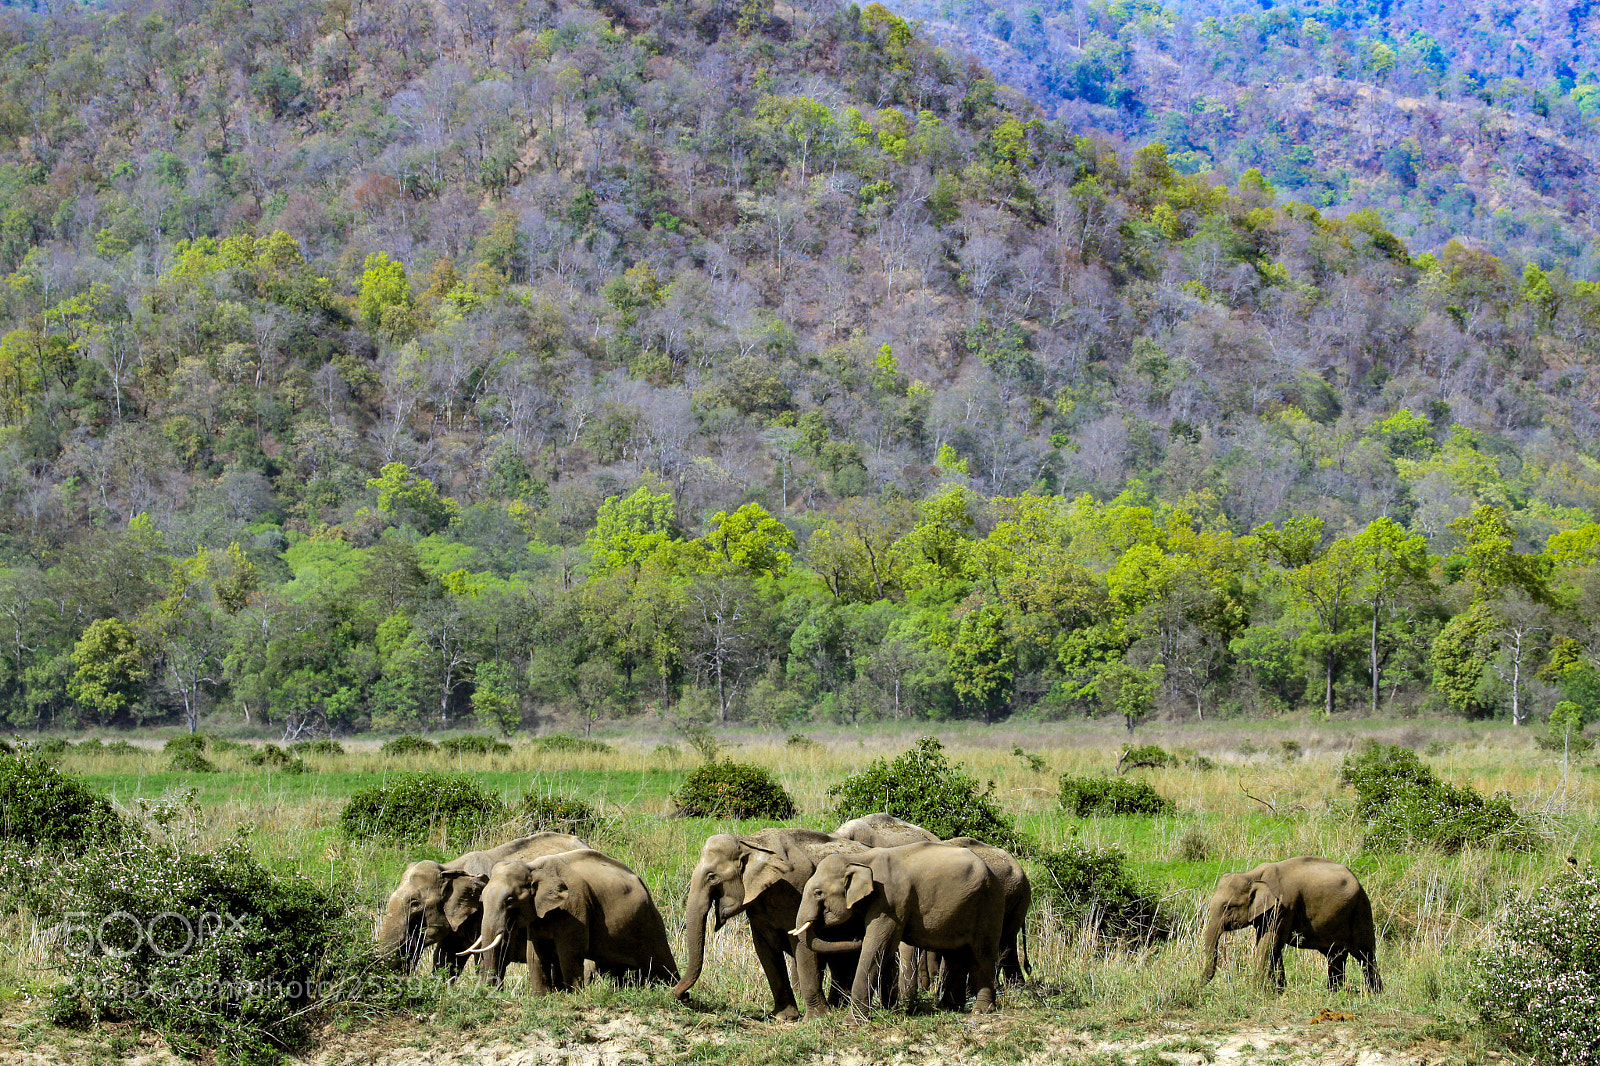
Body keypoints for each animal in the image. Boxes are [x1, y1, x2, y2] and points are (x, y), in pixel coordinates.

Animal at [461, 849, 678, 991]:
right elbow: (536, 954)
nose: (488, 989)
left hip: (648, 922)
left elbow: (569, 951)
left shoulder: (573, 905)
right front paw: (542, 997)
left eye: (509, 900)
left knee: (662, 963)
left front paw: (573, 994)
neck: (533, 867)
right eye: (481, 899)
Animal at [673, 828, 872, 1020]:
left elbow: (802, 945)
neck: (751, 842)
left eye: (712, 876)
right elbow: (764, 949)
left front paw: (816, 1019)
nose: (686, 997)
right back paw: (839, 1006)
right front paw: (783, 1017)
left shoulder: (796, 892)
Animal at [792, 841, 1006, 1015]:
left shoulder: (891, 901)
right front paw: (890, 1009)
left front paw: (852, 1021)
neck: (859, 859)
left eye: (818, 893)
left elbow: (877, 946)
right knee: (956, 953)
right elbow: (885, 950)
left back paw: (981, 1010)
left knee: (983, 952)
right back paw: (949, 1007)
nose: (854, 938)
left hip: (989, 901)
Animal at [1200, 855, 1381, 993]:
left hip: (1360, 910)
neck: (1252, 875)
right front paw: (1278, 991)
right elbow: (1271, 946)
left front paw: (1257, 990)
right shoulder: (1268, 913)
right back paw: (1334, 992)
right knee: (1336, 956)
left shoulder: (1283, 907)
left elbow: (1269, 944)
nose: (1198, 985)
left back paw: (1375, 993)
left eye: (1227, 907)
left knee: (1365, 954)